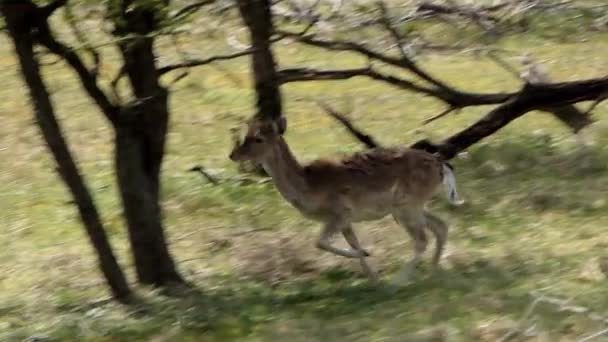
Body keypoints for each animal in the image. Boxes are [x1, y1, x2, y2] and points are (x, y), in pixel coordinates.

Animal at [230, 116, 464, 284]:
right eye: (246, 135)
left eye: (258, 138)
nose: (233, 155)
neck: (309, 187)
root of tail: (441, 164)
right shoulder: (345, 220)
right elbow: (352, 242)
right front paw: (373, 276)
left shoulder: (340, 212)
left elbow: (320, 242)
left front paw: (370, 260)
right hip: (411, 207)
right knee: (441, 226)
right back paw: (432, 272)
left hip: (407, 206)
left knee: (422, 240)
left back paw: (398, 282)